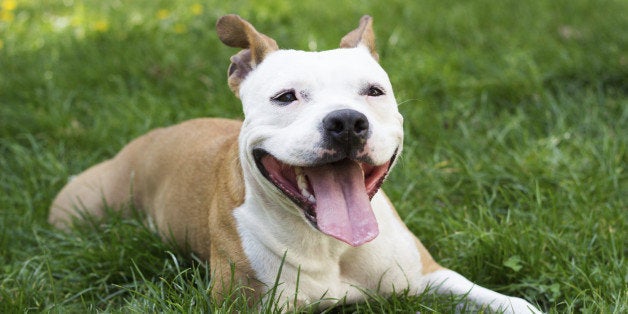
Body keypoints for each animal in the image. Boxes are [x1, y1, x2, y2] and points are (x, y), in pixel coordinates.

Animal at [47, 15, 540, 314]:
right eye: (285, 97)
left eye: (373, 92)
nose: (346, 122)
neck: (329, 244)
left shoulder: (428, 276)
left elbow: (502, 300)